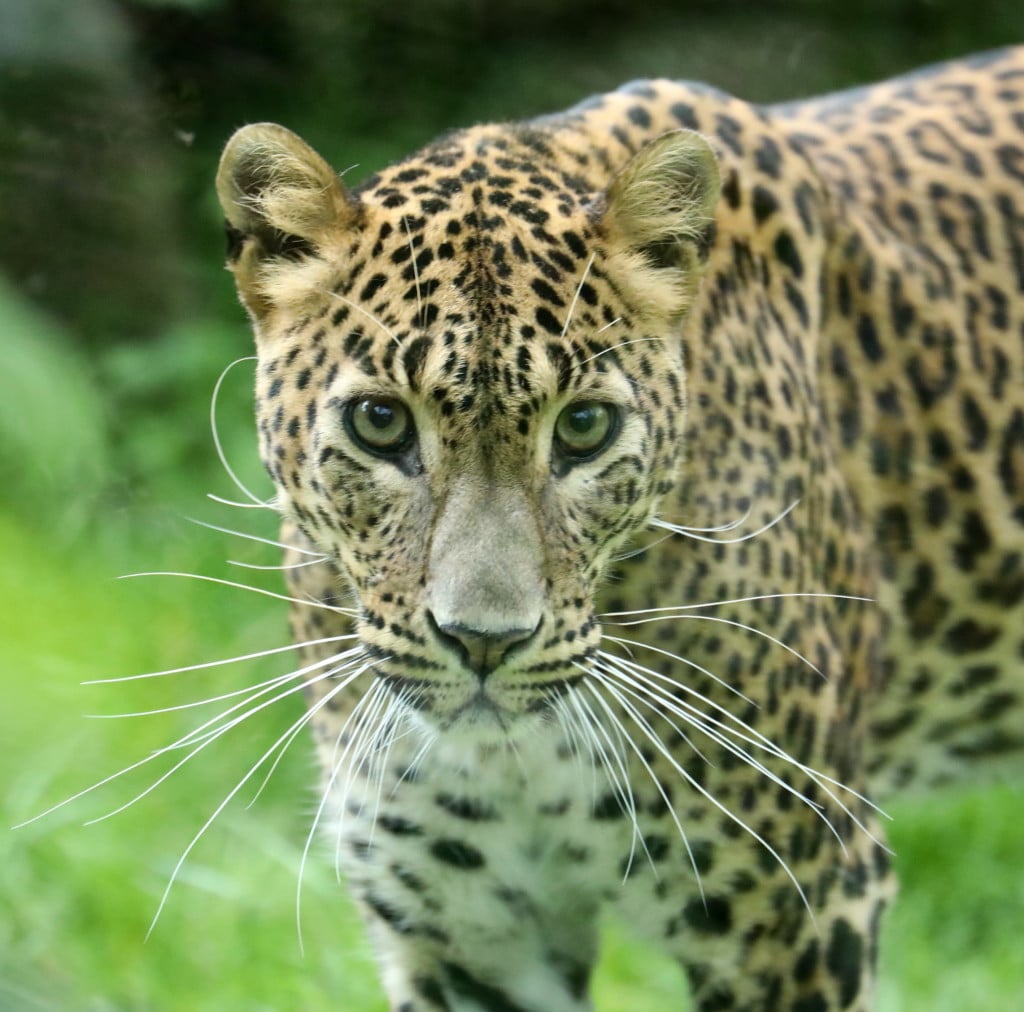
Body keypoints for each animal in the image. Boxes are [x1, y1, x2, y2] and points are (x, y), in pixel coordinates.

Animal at [214, 46, 1024, 1011]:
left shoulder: (802, 909)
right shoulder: (468, 940)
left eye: (585, 428)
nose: (484, 643)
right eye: (380, 422)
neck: (514, 758)